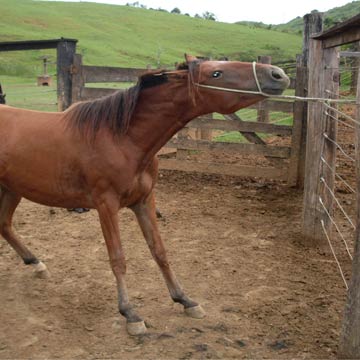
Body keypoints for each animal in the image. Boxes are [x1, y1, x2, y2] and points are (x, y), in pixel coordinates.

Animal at [0, 55, 288, 334]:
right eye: (215, 73)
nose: (278, 75)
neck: (121, 139)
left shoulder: (144, 201)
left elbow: (159, 251)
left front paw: (184, 299)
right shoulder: (106, 205)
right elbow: (118, 258)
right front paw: (130, 314)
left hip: (12, 189)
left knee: (5, 225)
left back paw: (36, 263)